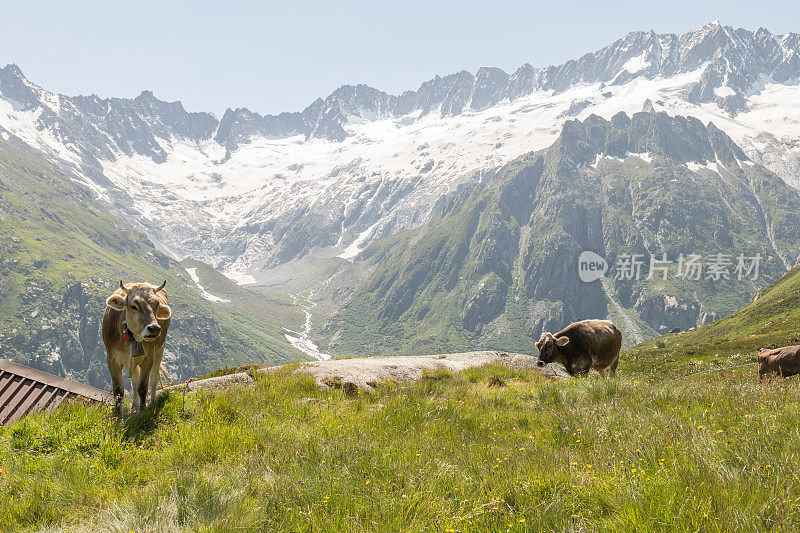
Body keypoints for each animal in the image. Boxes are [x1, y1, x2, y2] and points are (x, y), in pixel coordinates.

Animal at [101, 280, 172, 414]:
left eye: (157, 306)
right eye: (134, 306)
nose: (154, 328)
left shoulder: (148, 358)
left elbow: (142, 387)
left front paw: (143, 412)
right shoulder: (112, 360)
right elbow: (119, 392)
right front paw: (118, 416)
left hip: (160, 349)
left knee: (154, 377)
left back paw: (152, 402)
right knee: (134, 379)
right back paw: (134, 406)